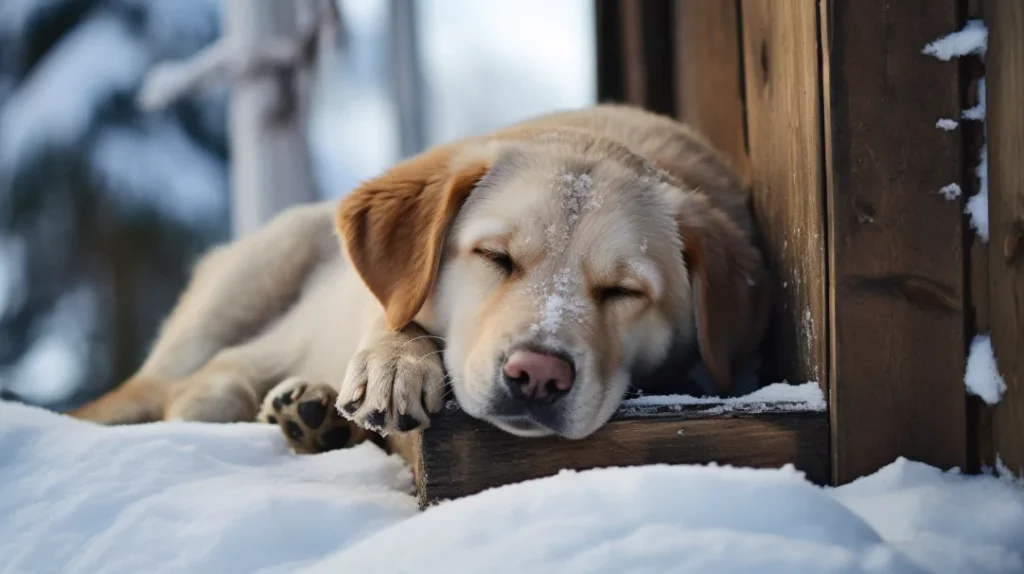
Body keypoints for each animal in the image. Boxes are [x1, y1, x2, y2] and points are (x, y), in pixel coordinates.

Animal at [70, 102, 770, 452]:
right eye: (494, 257)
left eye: (624, 292)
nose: (538, 376)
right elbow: (395, 313)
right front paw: (396, 364)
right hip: (262, 268)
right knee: (186, 383)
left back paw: (310, 411)